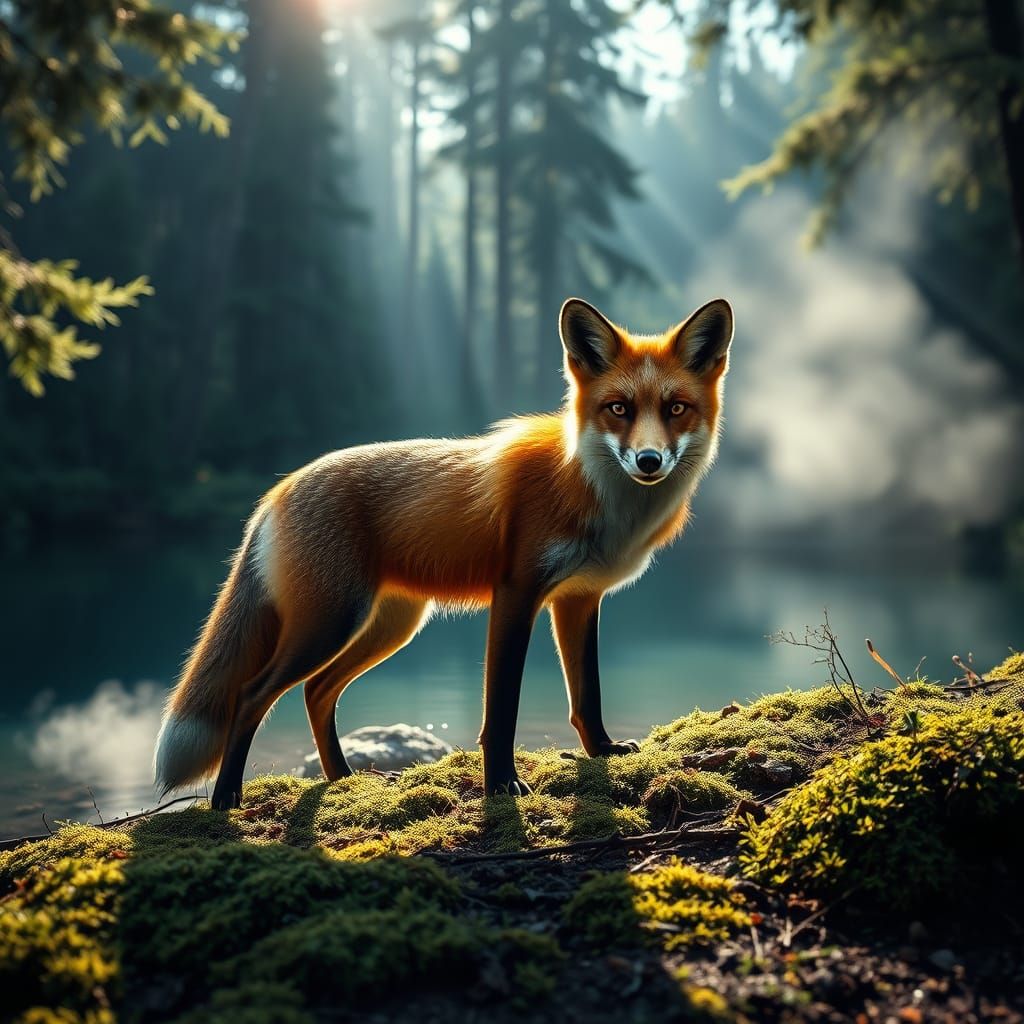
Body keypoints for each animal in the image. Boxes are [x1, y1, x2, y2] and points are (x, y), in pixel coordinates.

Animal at [154, 295, 734, 809]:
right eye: (618, 408)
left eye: (676, 408)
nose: (649, 460)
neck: (585, 482)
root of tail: (280, 488)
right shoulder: (517, 593)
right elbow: (501, 711)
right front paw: (501, 786)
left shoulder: (578, 599)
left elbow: (586, 697)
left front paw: (603, 752)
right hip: (330, 622)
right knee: (252, 694)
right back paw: (226, 798)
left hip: (387, 627)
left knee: (317, 692)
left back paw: (343, 780)